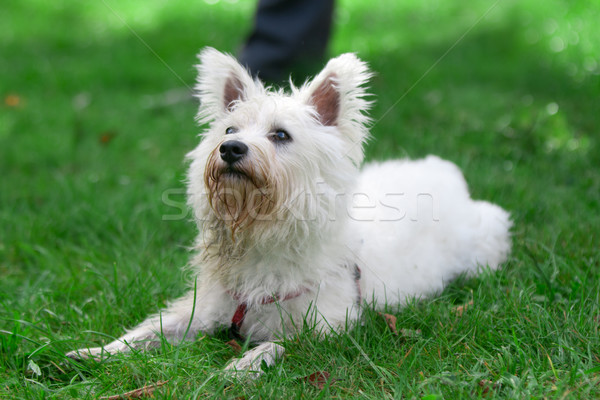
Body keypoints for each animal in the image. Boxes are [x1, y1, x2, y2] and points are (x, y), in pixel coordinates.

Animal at [69, 47, 510, 376]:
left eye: (281, 135)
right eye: (229, 130)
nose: (230, 150)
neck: (261, 232)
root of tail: (445, 170)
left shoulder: (325, 327)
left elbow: (275, 345)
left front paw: (240, 368)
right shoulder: (204, 309)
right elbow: (150, 329)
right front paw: (96, 352)